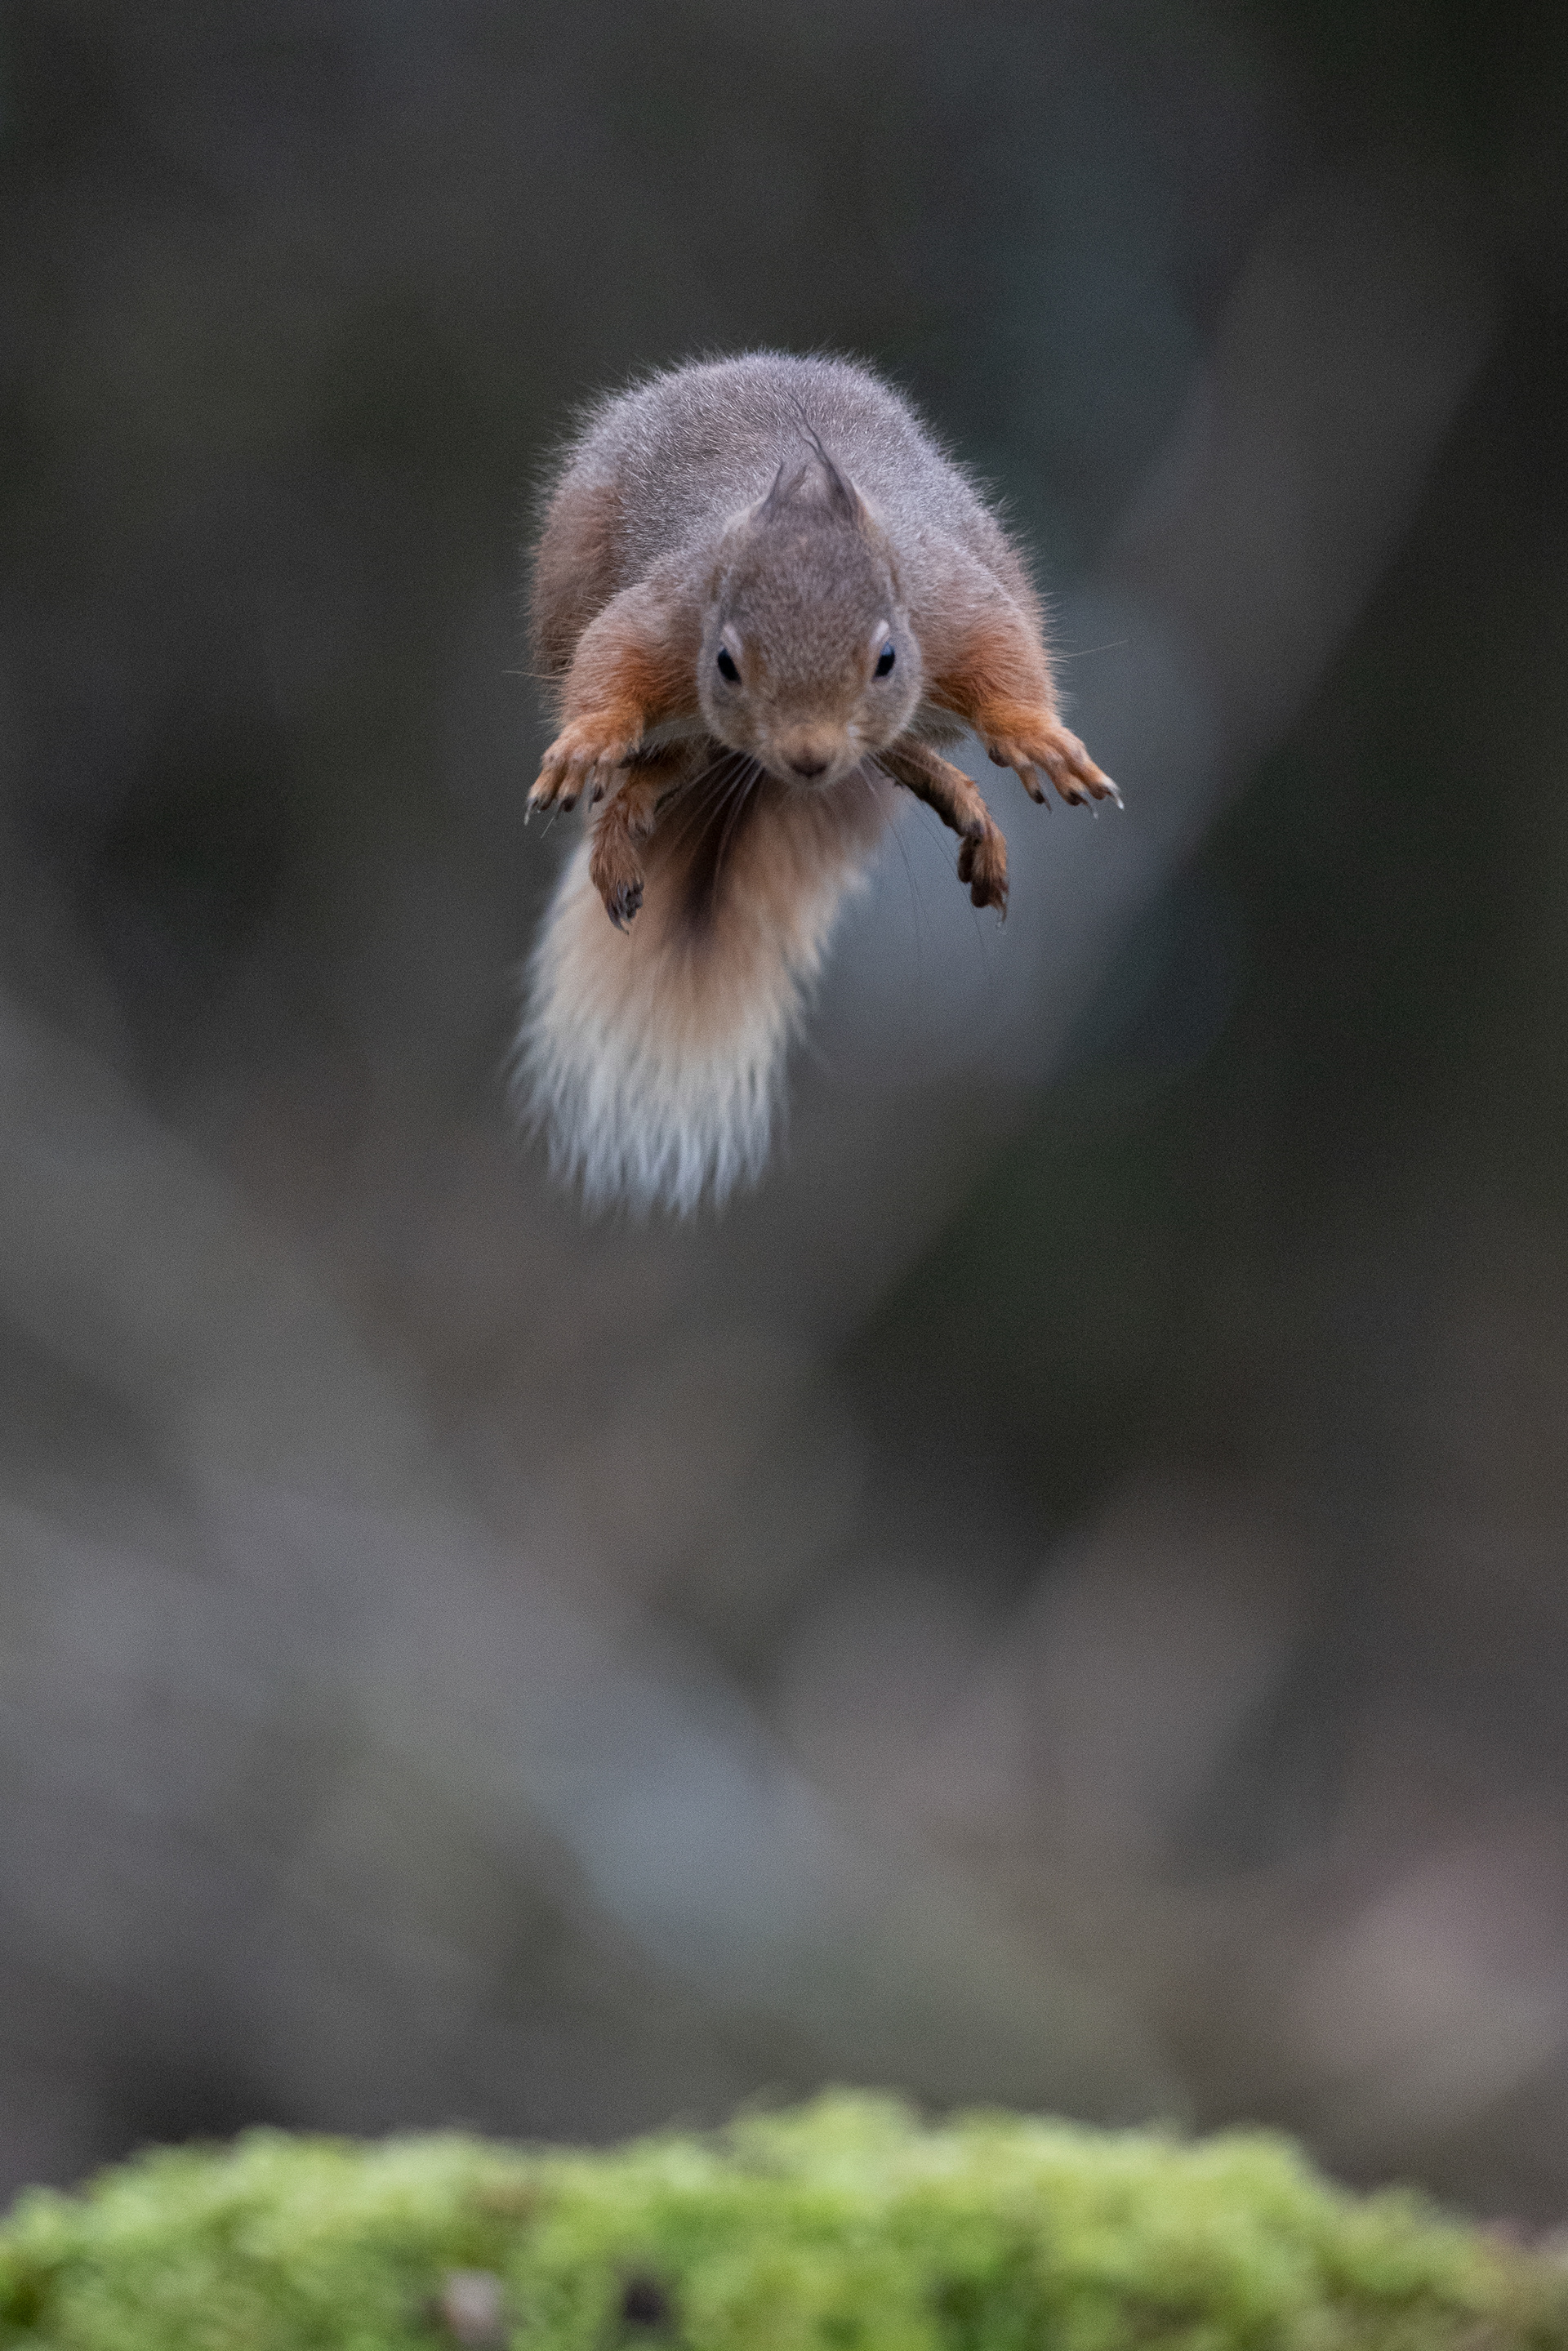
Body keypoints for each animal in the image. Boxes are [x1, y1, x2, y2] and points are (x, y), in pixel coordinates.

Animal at [515, 352, 1118, 1214]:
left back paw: (952, 791)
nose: (809, 757)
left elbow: (1007, 658)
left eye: (888, 656)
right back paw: (626, 815)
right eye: (727, 661)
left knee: (894, 752)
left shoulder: (951, 602)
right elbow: (609, 662)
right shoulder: (668, 614)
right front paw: (588, 741)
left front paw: (1038, 737)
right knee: (685, 758)